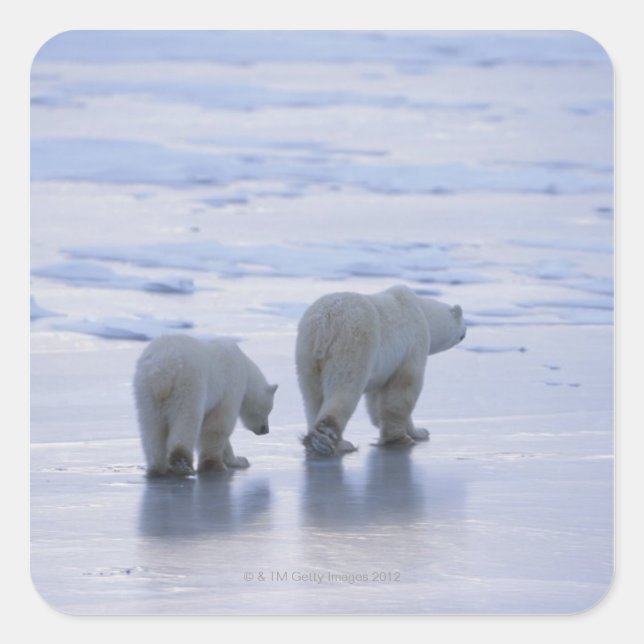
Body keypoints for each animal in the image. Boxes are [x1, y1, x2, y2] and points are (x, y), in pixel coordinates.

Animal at [133, 334, 277, 476]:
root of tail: (163, 367)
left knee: (151, 428)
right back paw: (181, 465)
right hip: (188, 385)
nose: (265, 430)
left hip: (146, 391)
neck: (245, 367)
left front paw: (238, 460)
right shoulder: (230, 386)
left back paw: (157, 467)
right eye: (267, 411)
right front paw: (218, 464)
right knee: (186, 421)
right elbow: (218, 425)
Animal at [295, 285, 466, 456]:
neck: (423, 312)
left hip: (306, 354)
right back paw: (337, 442)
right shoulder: (413, 344)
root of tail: (324, 324)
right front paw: (407, 436)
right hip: (353, 343)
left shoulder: (383, 365)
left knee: (312, 398)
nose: (465, 332)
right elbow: (404, 389)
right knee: (345, 388)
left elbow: (375, 399)